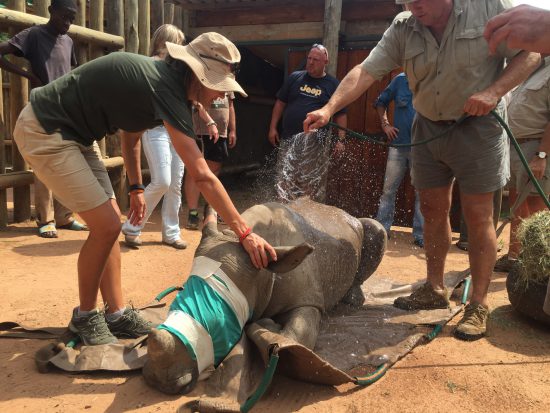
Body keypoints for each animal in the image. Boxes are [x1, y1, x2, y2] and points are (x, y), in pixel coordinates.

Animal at [143, 198, 388, 394]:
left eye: (218, 321)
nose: (157, 382)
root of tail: (341, 211)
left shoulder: (309, 301)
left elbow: (296, 336)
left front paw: (269, 328)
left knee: (377, 228)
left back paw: (353, 301)